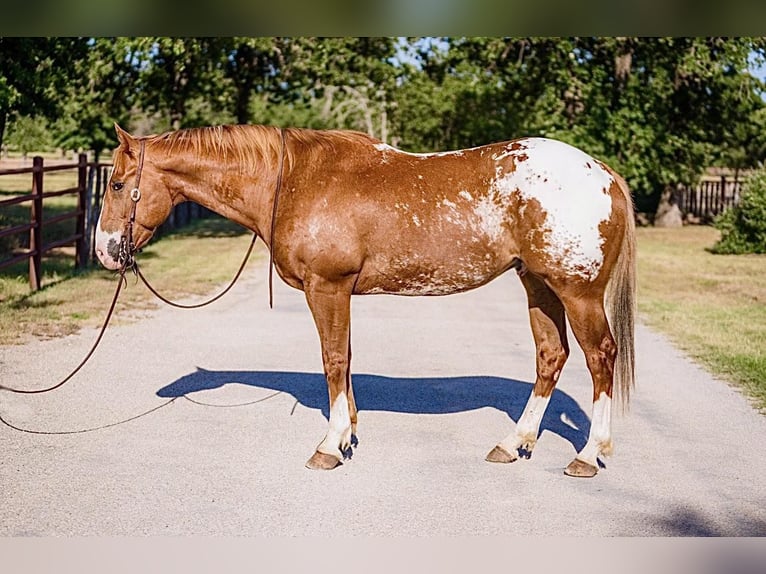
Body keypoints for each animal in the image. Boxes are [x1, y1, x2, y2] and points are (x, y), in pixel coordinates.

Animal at [94, 124, 636, 480]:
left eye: (117, 184)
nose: (104, 251)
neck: (292, 179)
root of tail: (602, 171)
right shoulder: (339, 293)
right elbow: (346, 359)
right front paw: (348, 435)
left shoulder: (327, 288)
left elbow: (333, 360)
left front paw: (329, 447)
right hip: (538, 286)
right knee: (551, 356)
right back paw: (512, 443)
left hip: (577, 292)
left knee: (599, 357)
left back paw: (588, 455)